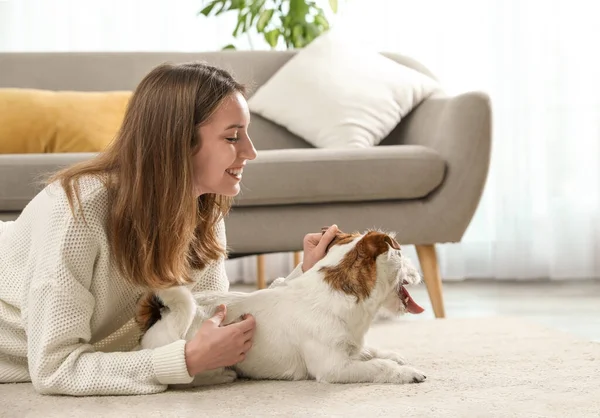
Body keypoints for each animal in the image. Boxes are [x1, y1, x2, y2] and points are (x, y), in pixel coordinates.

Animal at [136, 229, 426, 386]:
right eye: (400, 254)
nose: (417, 269)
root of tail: (163, 316)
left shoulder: (350, 348)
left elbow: (371, 352)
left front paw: (393, 355)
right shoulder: (335, 367)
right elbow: (378, 366)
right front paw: (407, 372)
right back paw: (222, 375)